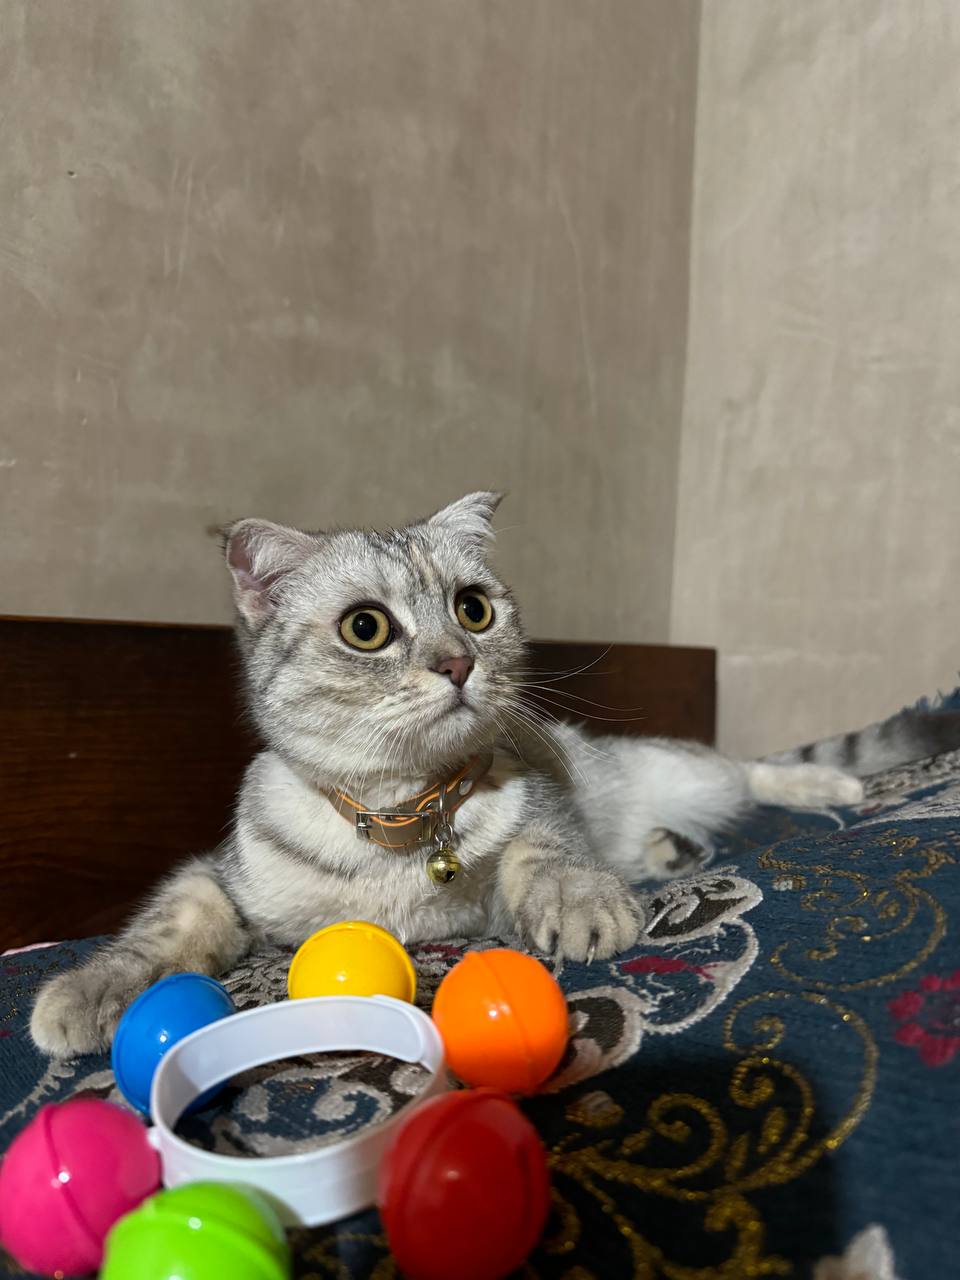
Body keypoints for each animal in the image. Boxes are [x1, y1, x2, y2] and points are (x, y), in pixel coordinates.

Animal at [33, 494, 870, 1054]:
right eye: (365, 627)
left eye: (474, 610)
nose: (459, 662)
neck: (400, 814)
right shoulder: (222, 872)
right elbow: (170, 922)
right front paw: (89, 989)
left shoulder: (527, 827)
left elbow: (545, 850)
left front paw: (582, 902)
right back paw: (672, 850)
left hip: (684, 772)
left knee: (750, 770)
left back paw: (838, 788)